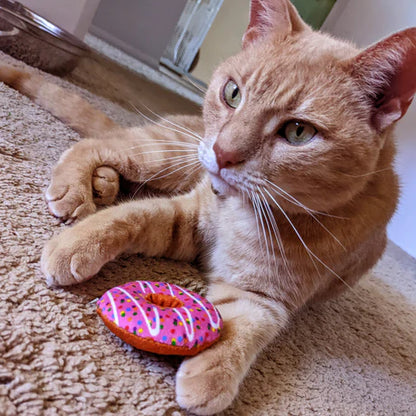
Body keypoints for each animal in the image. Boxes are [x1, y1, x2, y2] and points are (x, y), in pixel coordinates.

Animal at [0, 1, 414, 414]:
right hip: (164, 155)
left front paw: (212, 374)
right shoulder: (184, 216)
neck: (245, 213)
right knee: (98, 144)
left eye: (299, 132)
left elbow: (247, 327)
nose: (222, 152)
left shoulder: (266, 294)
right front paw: (73, 245)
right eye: (233, 93)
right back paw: (78, 187)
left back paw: (104, 183)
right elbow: (126, 218)